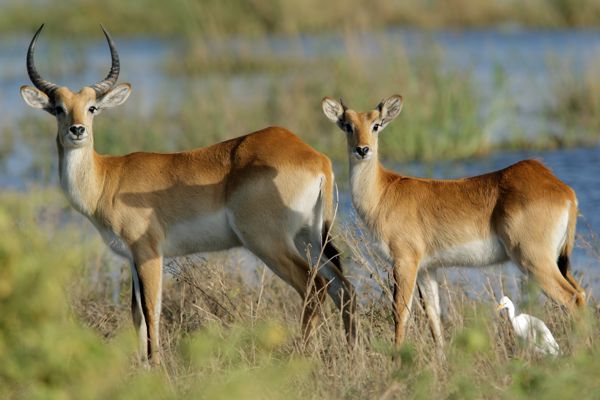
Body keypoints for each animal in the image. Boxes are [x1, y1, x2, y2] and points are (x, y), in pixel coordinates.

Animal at [19, 23, 356, 364]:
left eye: (92, 108)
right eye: (58, 108)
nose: (77, 130)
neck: (107, 179)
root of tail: (315, 157)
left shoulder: (148, 252)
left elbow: (151, 311)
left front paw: (157, 366)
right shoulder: (131, 258)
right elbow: (136, 315)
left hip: (268, 241)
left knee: (314, 286)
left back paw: (300, 356)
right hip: (309, 237)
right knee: (343, 288)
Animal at [322, 95, 584, 348]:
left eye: (376, 125)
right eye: (348, 125)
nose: (362, 149)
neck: (384, 192)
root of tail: (564, 190)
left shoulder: (405, 261)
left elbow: (401, 313)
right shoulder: (427, 269)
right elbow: (434, 317)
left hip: (534, 261)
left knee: (572, 298)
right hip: (555, 261)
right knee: (580, 294)